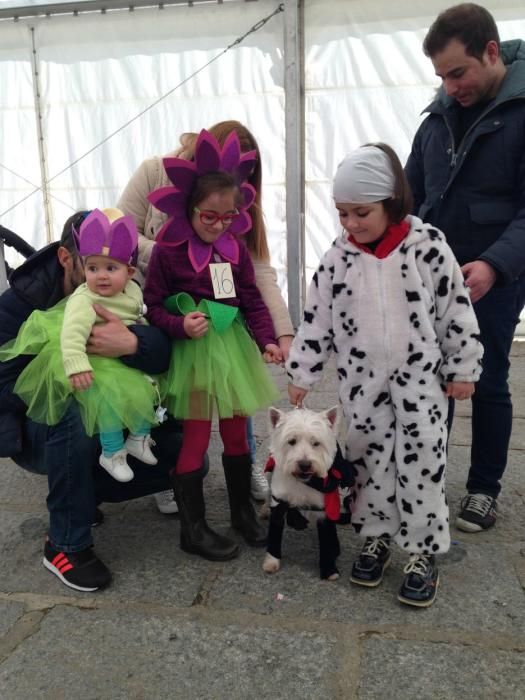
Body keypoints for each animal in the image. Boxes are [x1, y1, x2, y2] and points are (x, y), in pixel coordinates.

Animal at [260, 404, 350, 580]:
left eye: (316, 443)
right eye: (291, 441)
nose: (305, 464)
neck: (303, 482)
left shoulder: (324, 509)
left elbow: (326, 541)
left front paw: (329, 570)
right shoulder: (279, 502)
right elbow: (274, 536)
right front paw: (271, 562)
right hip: (269, 476)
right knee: (267, 493)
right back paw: (265, 509)